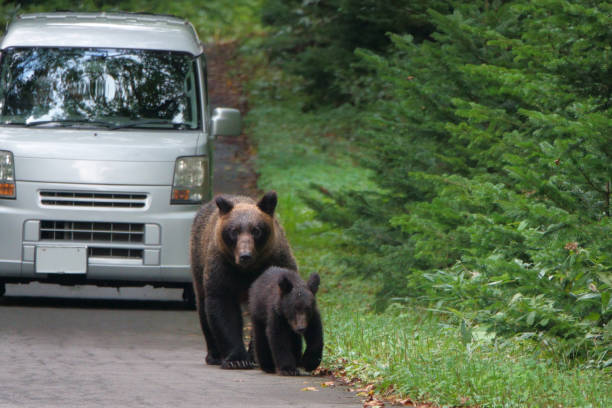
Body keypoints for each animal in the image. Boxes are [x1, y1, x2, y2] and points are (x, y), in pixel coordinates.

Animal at [190, 192, 298, 370]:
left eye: (256, 230)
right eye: (234, 231)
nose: (245, 255)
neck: (247, 270)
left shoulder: (276, 262)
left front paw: (256, 354)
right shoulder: (222, 268)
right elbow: (223, 309)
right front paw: (237, 359)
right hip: (198, 262)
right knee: (203, 308)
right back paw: (213, 355)